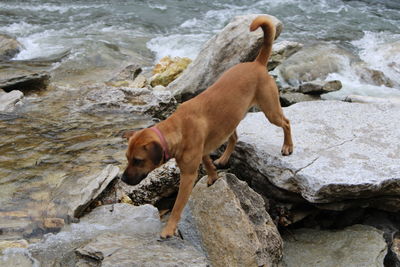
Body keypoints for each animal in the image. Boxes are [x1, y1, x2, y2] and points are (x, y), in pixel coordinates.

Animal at [122, 15, 294, 240]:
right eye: (127, 158)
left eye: (138, 160)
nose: (123, 179)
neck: (178, 128)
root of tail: (257, 63)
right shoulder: (202, 151)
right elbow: (209, 164)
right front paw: (213, 176)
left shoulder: (187, 176)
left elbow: (177, 207)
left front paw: (169, 229)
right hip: (232, 119)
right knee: (234, 137)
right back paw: (224, 158)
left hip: (270, 109)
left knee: (286, 123)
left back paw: (288, 146)